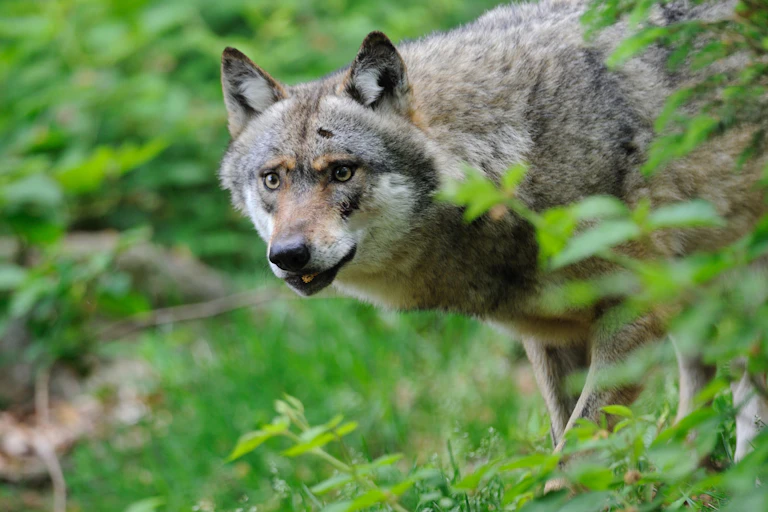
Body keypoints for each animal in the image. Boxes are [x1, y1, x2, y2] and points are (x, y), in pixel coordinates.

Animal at [218, 0, 767, 464]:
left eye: (341, 172)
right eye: (272, 179)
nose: (288, 254)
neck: (513, 155)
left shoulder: (636, 312)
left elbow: (571, 455)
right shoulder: (550, 339)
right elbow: (565, 438)